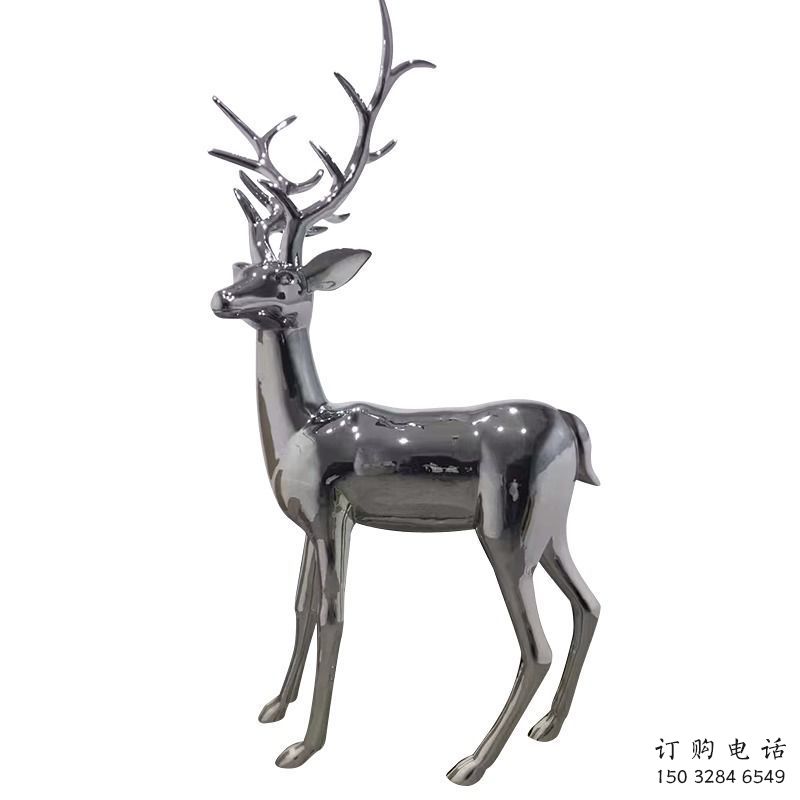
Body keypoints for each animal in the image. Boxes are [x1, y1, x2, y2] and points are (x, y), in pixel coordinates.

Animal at [209, 0, 600, 786]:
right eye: (248, 266)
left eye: (287, 282)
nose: (221, 297)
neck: (302, 430)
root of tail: (573, 426)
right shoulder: (309, 522)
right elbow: (298, 608)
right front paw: (273, 707)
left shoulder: (332, 510)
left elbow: (334, 616)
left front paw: (302, 748)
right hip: (553, 520)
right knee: (591, 604)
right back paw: (547, 730)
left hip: (506, 524)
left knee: (536, 641)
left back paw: (470, 763)